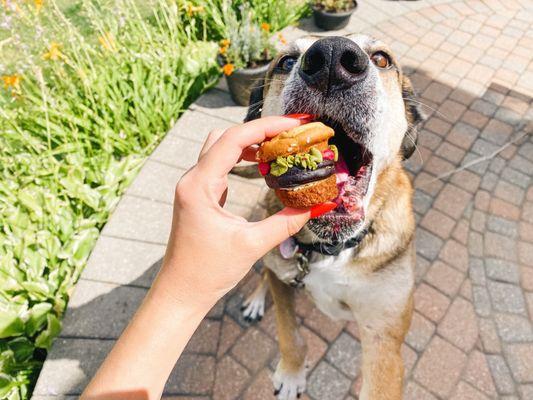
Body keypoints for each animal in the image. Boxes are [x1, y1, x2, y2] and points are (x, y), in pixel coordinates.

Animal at [235, 34, 422, 400]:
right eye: (286, 62)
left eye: (382, 59)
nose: (333, 56)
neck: (333, 248)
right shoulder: (284, 282)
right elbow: (289, 332)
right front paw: (292, 374)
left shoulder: (384, 335)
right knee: (265, 271)